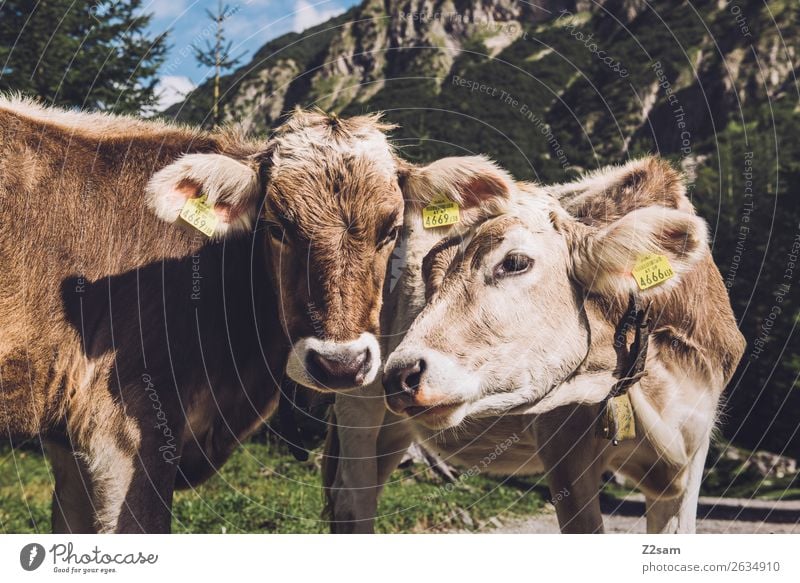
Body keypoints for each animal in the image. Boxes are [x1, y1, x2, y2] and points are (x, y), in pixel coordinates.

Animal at [324, 155, 744, 532]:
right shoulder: (565, 451)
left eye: (514, 262)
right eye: (430, 271)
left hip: (394, 428)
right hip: (357, 394)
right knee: (353, 502)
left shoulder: (692, 451)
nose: (401, 373)